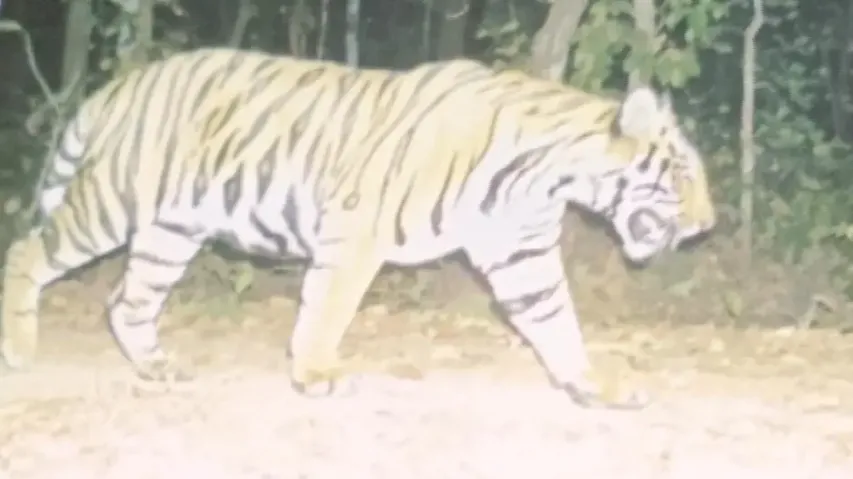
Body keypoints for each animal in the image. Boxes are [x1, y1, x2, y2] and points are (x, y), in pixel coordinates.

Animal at [1, 48, 715, 409]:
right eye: (681, 174)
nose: (708, 226)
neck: (549, 176)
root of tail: (124, 82)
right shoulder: (355, 230)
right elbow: (328, 307)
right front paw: (314, 373)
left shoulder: (522, 252)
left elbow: (555, 320)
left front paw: (593, 385)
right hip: (111, 203)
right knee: (27, 249)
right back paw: (20, 350)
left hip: (171, 230)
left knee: (127, 302)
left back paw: (158, 368)